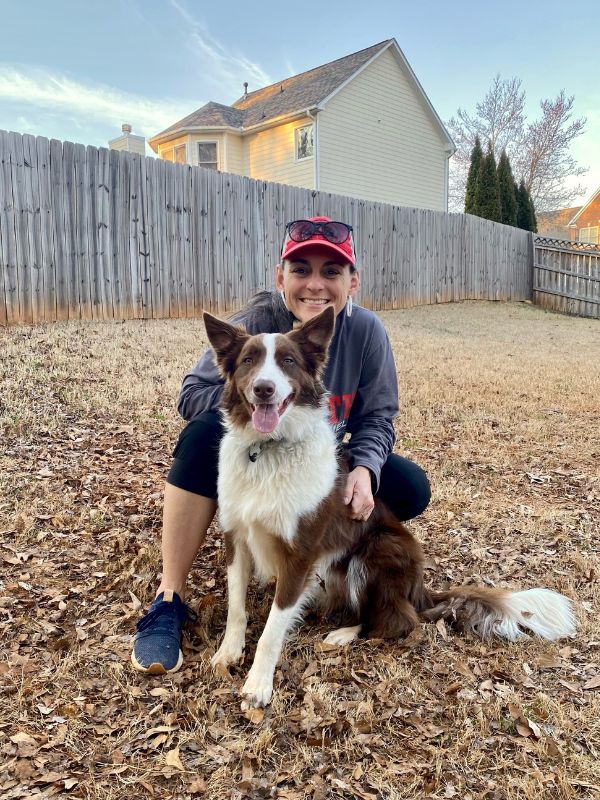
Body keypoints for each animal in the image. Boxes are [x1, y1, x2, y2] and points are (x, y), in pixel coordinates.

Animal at [203, 304, 576, 708]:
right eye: (248, 360)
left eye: (287, 361)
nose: (264, 388)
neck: (268, 449)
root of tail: (420, 587)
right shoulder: (237, 537)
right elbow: (236, 606)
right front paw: (228, 652)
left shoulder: (300, 555)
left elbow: (273, 627)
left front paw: (258, 683)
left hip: (378, 549)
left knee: (399, 620)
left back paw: (344, 634)